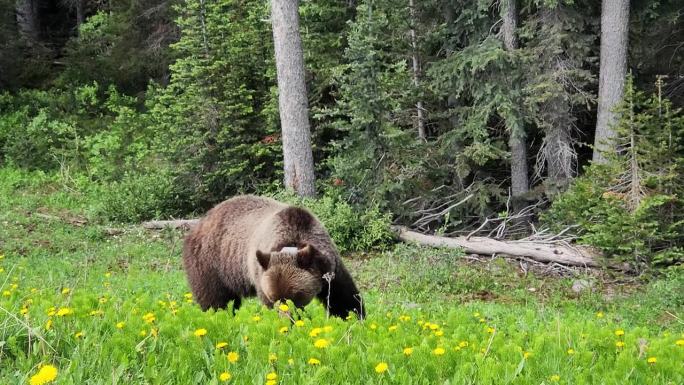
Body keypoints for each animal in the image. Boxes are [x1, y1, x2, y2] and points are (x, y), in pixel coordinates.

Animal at [180, 195, 364, 318]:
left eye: (295, 295)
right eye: (273, 298)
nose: (286, 316)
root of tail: (200, 223)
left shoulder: (329, 268)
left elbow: (344, 297)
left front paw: (354, 316)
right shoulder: (261, 272)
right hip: (211, 263)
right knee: (215, 301)